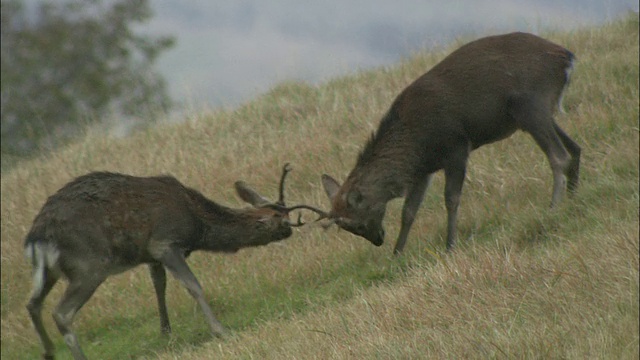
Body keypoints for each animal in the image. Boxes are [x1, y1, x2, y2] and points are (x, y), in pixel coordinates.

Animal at [25, 164, 324, 360]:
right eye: (281, 223)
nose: (290, 232)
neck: (197, 224)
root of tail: (36, 237)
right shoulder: (165, 242)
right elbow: (193, 286)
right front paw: (220, 330)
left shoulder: (151, 254)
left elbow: (160, 285)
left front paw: (165, 332)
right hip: (90, 265)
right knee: (61, 312)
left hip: (51, 271)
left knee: (32, 304)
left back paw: (48, 352)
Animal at [320, 32, 580, 255]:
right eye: (350, 229)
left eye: (358, 224)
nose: (378, 240)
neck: (415, 146)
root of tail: (568, 59)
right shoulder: (424, 170)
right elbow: (408, 211)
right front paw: (397, 254)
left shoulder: (456, 147)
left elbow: (451, 199)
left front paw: (450, 245)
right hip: (536, 112)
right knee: (575, 147)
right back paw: (574, 195)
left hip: (531, 105)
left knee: (559, 156)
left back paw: (553, 207)